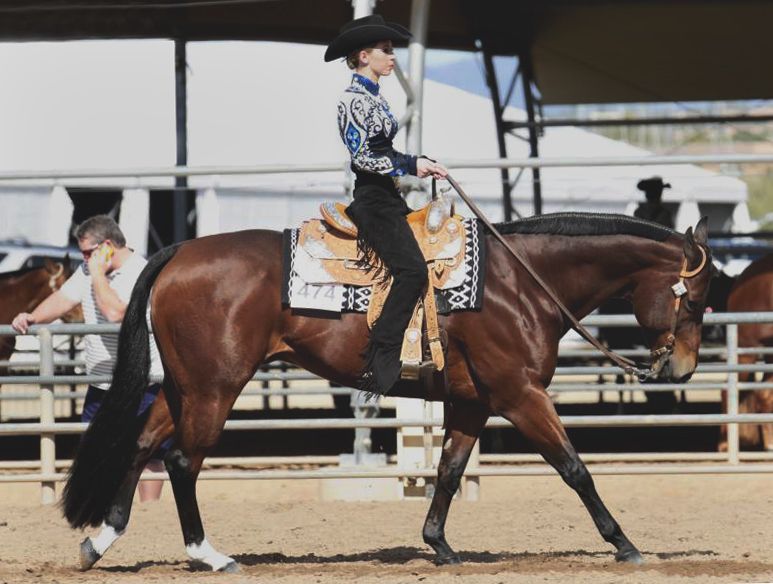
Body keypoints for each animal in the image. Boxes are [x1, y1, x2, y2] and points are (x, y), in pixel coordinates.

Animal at [63, 213, 708, 572]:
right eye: (695, 299)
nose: (681, 369)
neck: (519, 283)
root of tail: (179, 252)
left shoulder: (471, 403)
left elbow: (448, 472)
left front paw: (439, 547)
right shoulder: (521, 397)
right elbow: (575, 469)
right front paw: (625, 545)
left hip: (184, 388)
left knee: (143, 443)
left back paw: (102, 541)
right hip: (214, 390)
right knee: (180, 461)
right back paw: (209, 555)